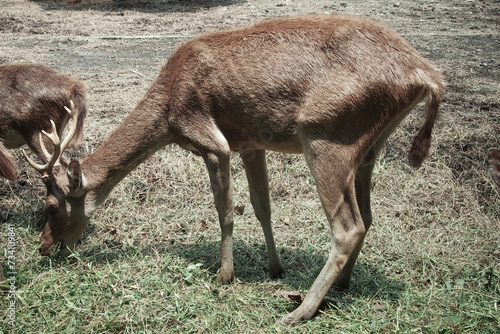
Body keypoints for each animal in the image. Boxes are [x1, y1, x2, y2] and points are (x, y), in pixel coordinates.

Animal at [26, 15, 446, 324]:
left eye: (50, 206)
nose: (44, 247)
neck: (168, 114)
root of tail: (426, 74)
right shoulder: (251, 142)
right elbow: (262, 207)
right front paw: (274, 267)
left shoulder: (212, 141)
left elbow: (225, 210)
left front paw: (224, 275)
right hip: (369, 146)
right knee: (369, 216)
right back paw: (342, 284)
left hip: (328, 134)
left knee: (349, 226)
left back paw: (299, 311)